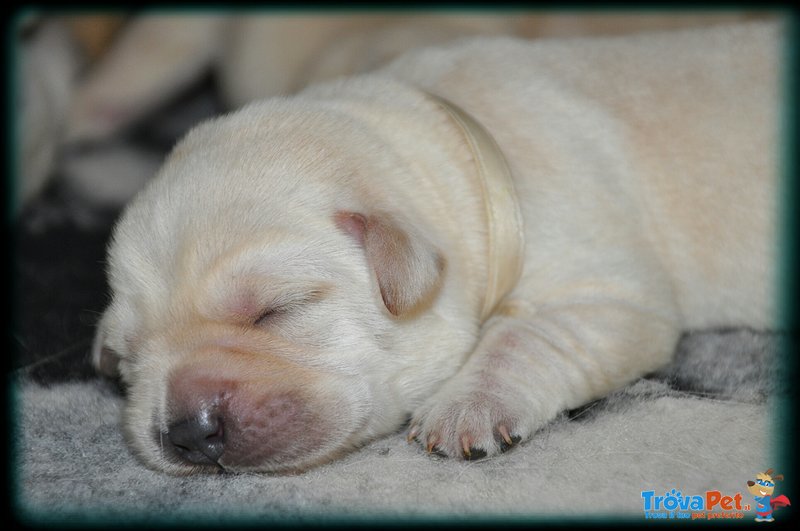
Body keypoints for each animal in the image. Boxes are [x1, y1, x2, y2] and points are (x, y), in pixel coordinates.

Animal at [92, 22, 780, 476]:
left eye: (276, 310)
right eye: (123, 360)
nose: (188, 431)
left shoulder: (604, 289)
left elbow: (523, 336)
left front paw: (466, 409)